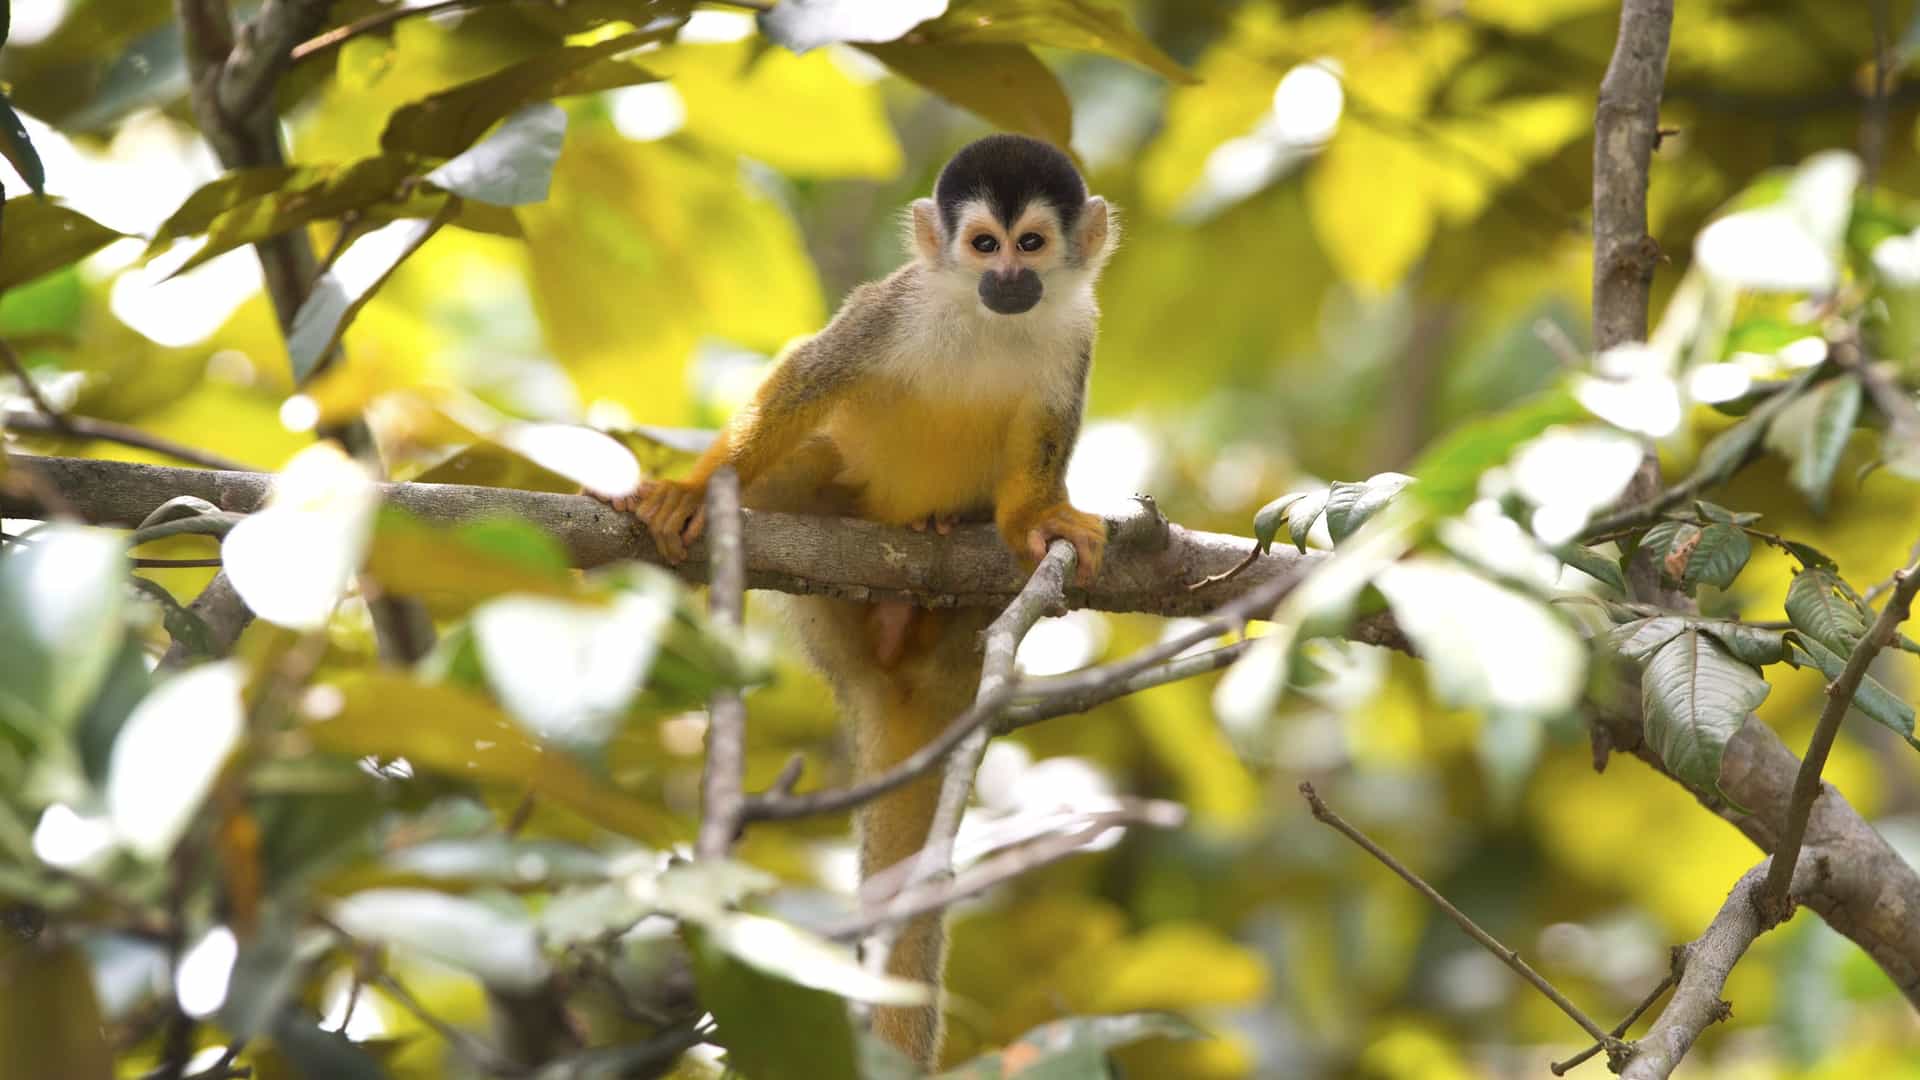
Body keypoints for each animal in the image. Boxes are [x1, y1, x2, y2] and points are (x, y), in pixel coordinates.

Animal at [600, 133, 1115, 1065]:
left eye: (1031, 245)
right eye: (983, 244)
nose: (1008, 279)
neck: (988, 321)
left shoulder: (1076, 335)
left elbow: (1044, 441)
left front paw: (1037, 521)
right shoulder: (895, 308)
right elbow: (811, 375)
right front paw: (691, 488)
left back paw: (949, 546)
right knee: (805, 463)